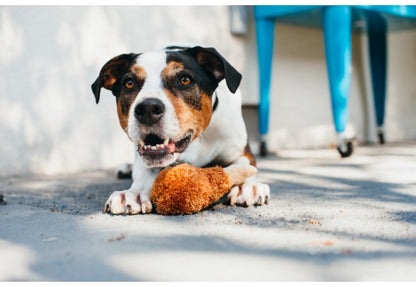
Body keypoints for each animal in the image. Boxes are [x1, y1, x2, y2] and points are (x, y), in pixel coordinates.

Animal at [92, 45, 270, 216]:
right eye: (129, 83)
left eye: (185, 80)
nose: (148, 108)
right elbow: (143, 170)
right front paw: (134, 193)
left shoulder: (241, 151)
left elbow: (245, 164)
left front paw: (247, 186)